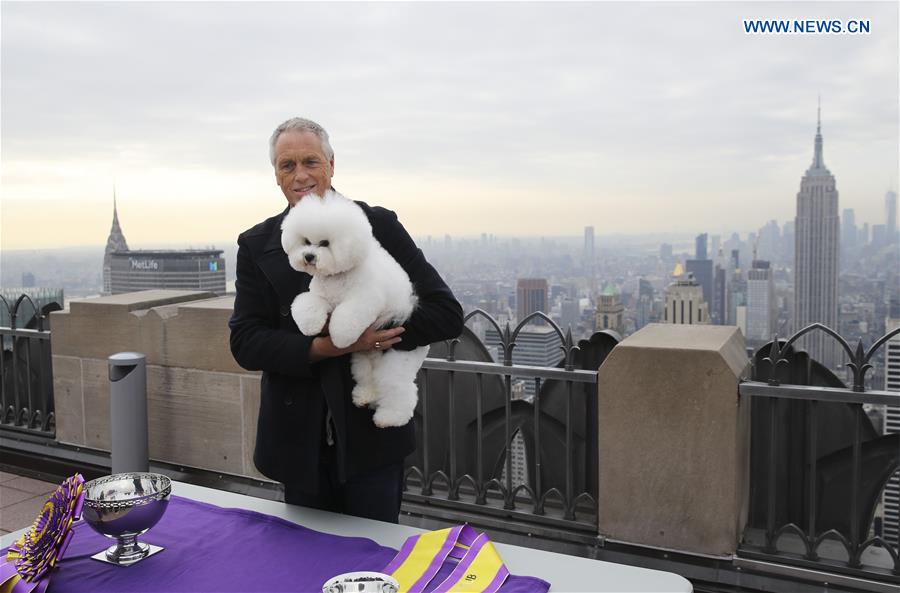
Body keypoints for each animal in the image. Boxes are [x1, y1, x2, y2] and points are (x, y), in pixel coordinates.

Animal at [282, 190, 428, 426]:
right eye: (306, 241)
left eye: (325, 243)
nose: (308, 256)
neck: (337, 277)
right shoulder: (319, 296)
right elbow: (307, 304)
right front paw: (310, 326)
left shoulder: (365, 299)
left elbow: (347, 316)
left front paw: (340, 338)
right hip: (365, 358)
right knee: (368, 376)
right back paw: (365, 397)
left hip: (398, 358)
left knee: (400, 388)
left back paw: (390, 417)